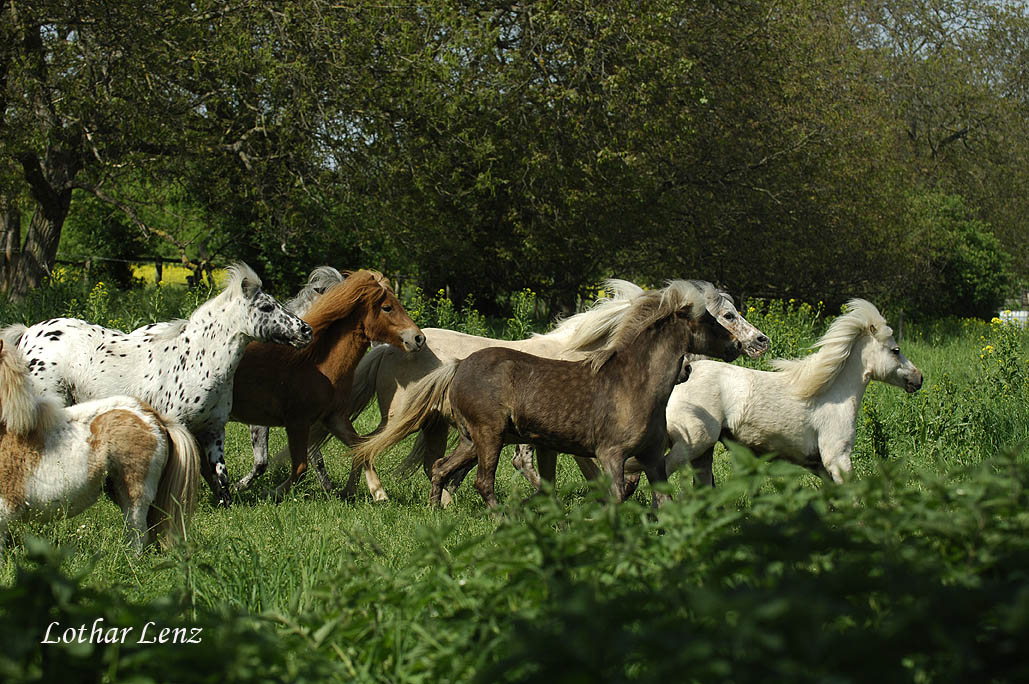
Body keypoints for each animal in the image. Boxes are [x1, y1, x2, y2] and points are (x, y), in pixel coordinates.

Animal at [2, 263, 312, 505]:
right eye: (267, 306)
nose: (306, 331)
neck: (198, 360)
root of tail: (28, 334)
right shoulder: (177, 426)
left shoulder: (213, 430)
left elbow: (218, 473)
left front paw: (226, 500)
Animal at [318, 279, 767, 504]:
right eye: (725, 316)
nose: (758, 342)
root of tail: (388, 347)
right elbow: (575, 472)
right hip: (404, 417)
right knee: (366, 447)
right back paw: (375, 495)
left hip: (439, 426)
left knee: (432, 464)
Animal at [627, 299, 923, 487]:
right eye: (896, 350)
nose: (918, 378)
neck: (832, 393)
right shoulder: (837, 458)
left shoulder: (819, 466)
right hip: (693, 443)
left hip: (702, 452)